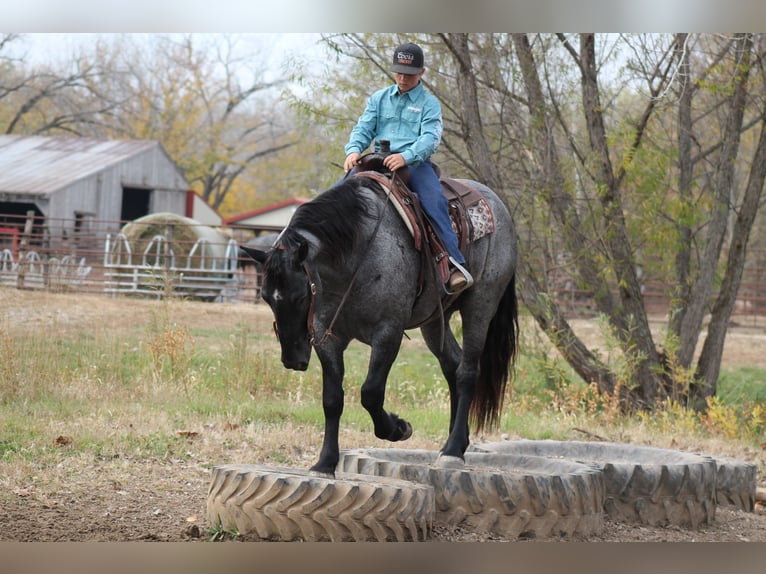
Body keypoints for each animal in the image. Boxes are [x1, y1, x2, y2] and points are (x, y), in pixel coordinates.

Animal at [244, 174, 520, 476]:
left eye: (300, 295)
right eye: (266, 296)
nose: (292, 360)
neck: (356, 255)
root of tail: (496, 202)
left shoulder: (388, 333)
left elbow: (370, 393)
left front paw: (397, 428)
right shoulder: (327, 337)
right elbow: (332, 399)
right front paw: (325, 462)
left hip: (480, 306)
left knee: (467, 371)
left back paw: (452, 451)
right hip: (435, 321)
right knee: (452, 365)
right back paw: (456, 442)